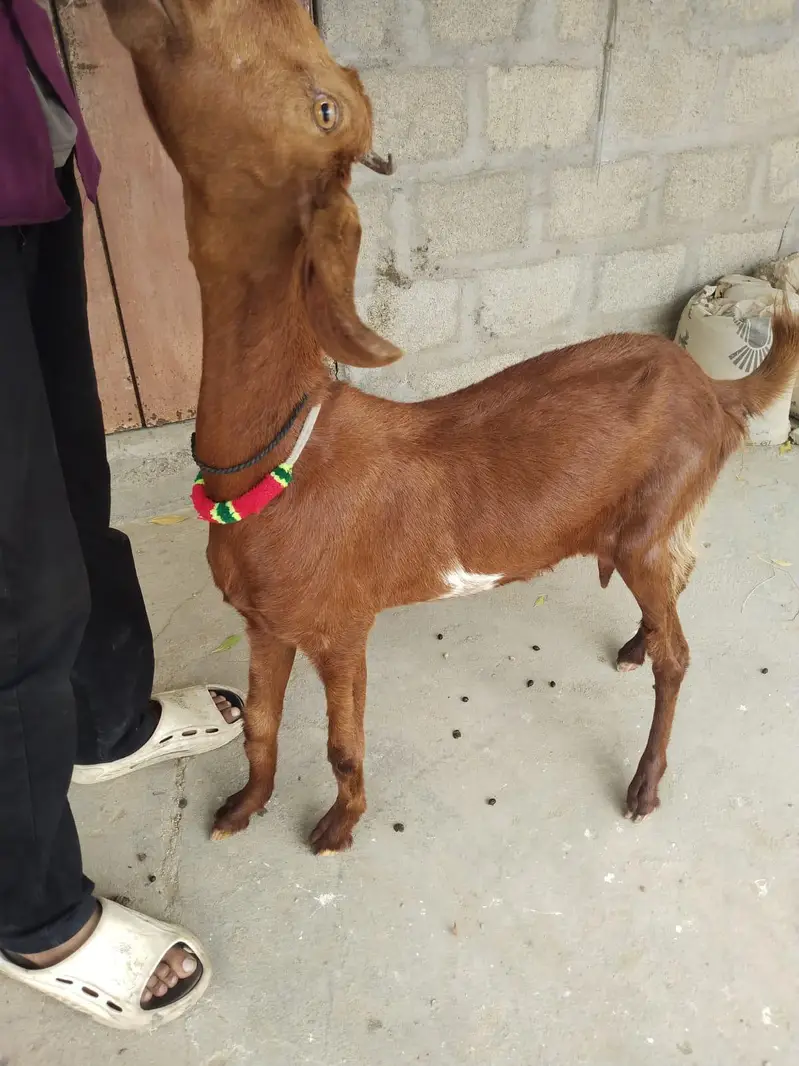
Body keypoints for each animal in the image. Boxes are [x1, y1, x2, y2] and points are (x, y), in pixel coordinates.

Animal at [102, 0, 799, 854]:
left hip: (649, 519)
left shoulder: (341, 625)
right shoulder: (265, 623)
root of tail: (712, 390)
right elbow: (261, 723)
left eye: (324, 108)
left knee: (679, 655)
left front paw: (338, 824)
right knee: (679, 576)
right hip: (663, 516)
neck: (279, 456)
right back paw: (639, 640)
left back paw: (644, 779)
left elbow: (340, 743)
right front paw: (243, 805)